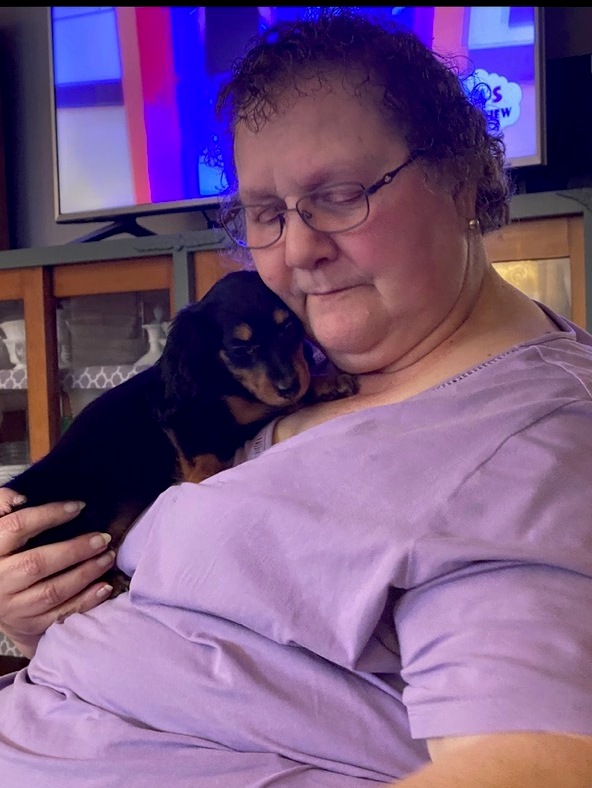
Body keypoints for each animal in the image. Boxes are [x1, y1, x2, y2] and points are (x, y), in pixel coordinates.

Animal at [0, 270, 357, 596]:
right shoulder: (182, 418)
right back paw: (111, 581)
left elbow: (264, 403)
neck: (219, 375)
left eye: (288, 327)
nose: (288, 386)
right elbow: (215, 444)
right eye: (241, 348)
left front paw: (328, 382)